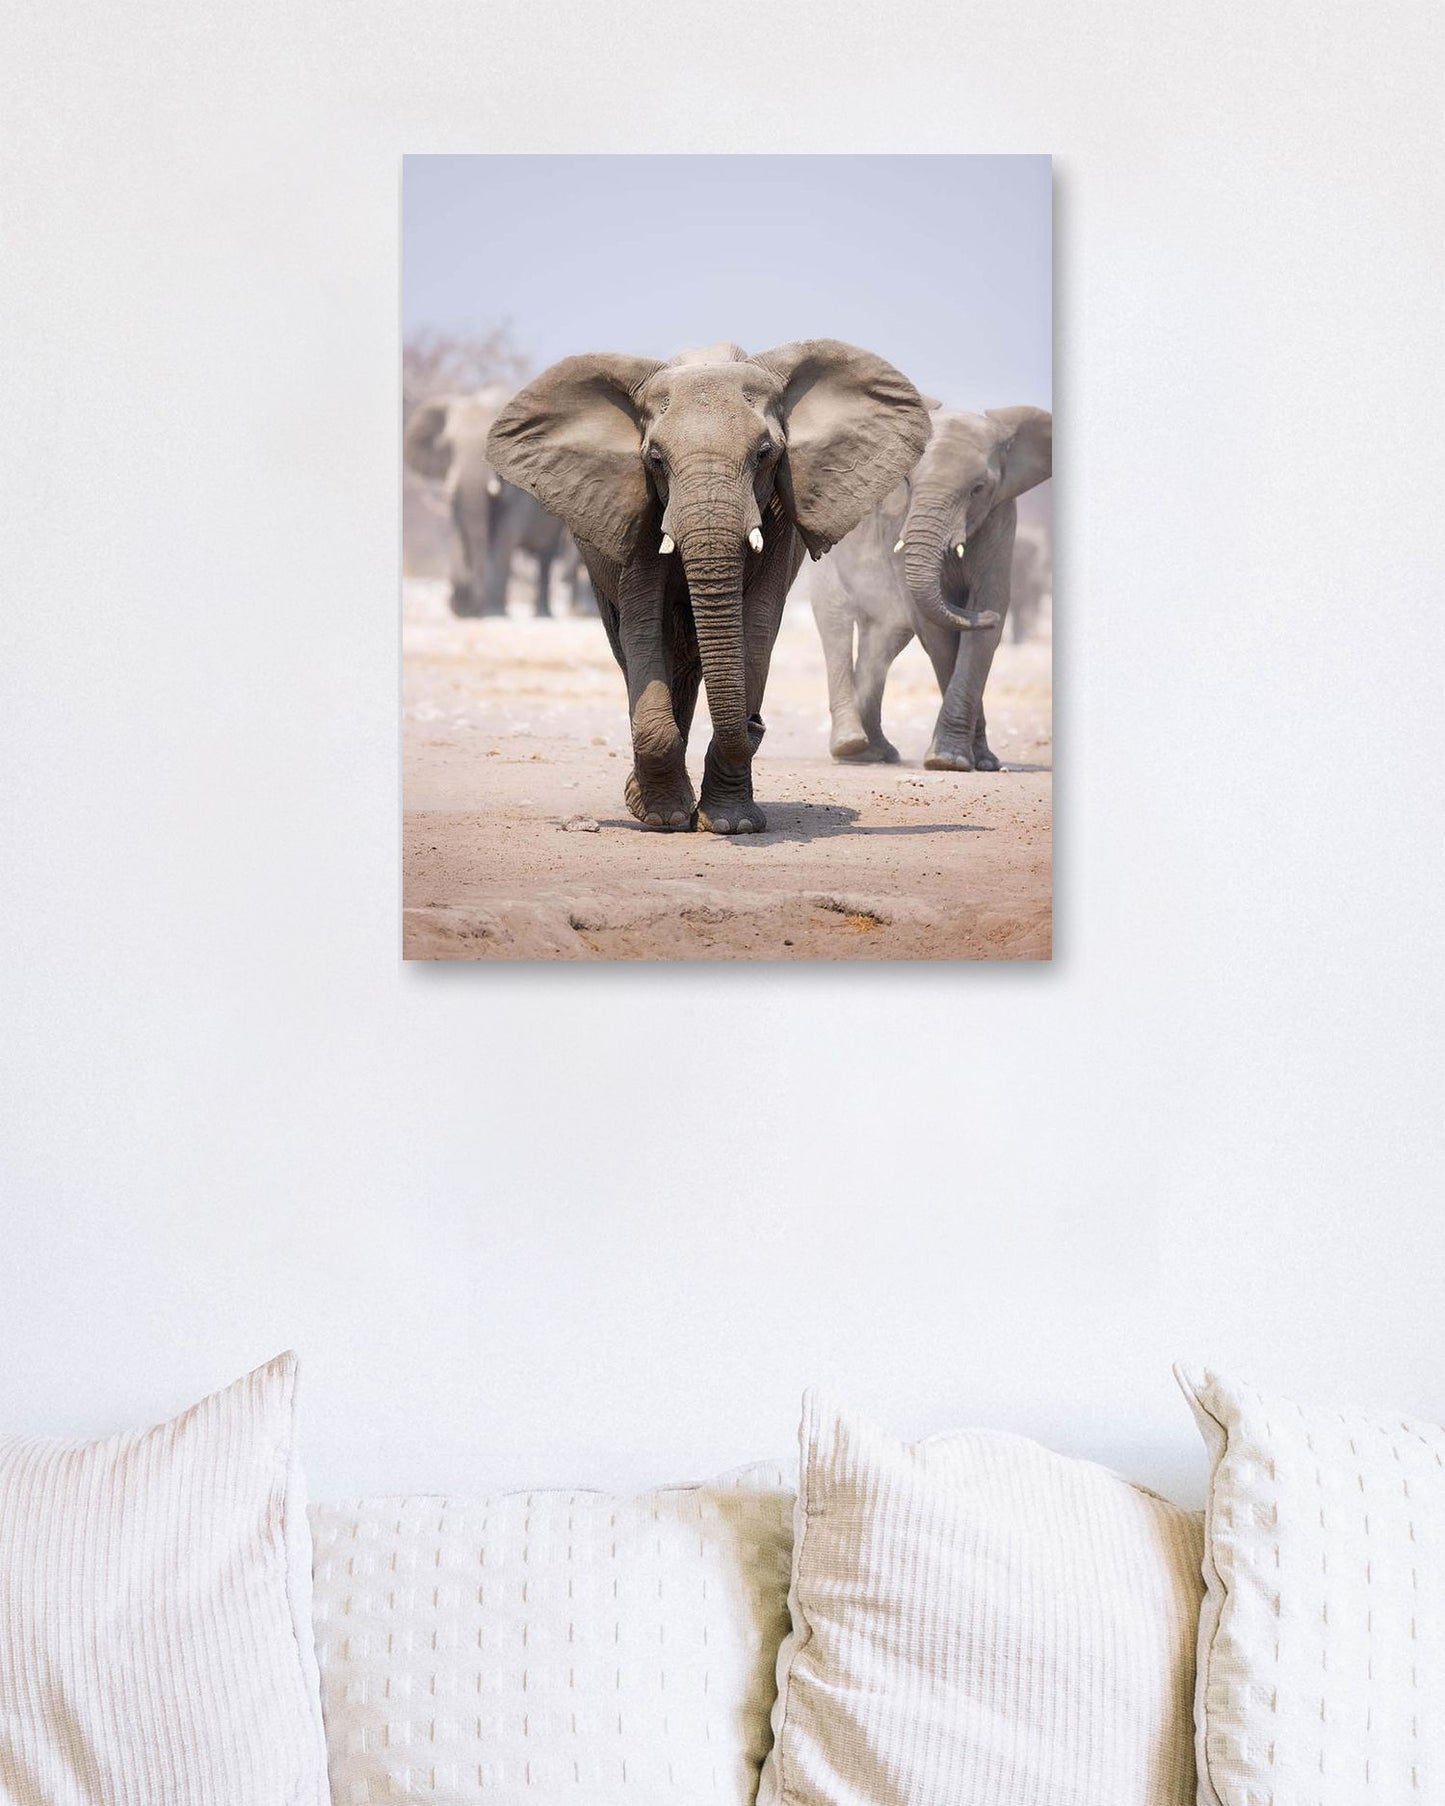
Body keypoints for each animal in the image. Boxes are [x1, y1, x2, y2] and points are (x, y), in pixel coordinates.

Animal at [403, 386, 593, 618]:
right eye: (447, 446)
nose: (463, 606)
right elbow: (461, 529)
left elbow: (504, 536)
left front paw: (493, 612)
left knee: (545, 557)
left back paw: (544, 614)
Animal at [485, 340, 930, 834]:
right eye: (655, 459)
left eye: (765, 453)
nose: (757, 723)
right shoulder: (641, 507)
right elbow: (644, 624)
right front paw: (664, 817)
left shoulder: (778, 519)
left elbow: (756, 628)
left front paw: (732, 825)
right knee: (638, 649)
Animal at [810, 405, 1052, 769]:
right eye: (908, 481)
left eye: (978, 488)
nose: (986, 617)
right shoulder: (898, 520)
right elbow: (936, 631)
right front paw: (949, 760)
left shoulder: (1000, 517)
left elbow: (984, 621)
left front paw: (975, 762)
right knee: (835, 619)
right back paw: (850, 747)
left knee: (884, 637)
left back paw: (875, 754)